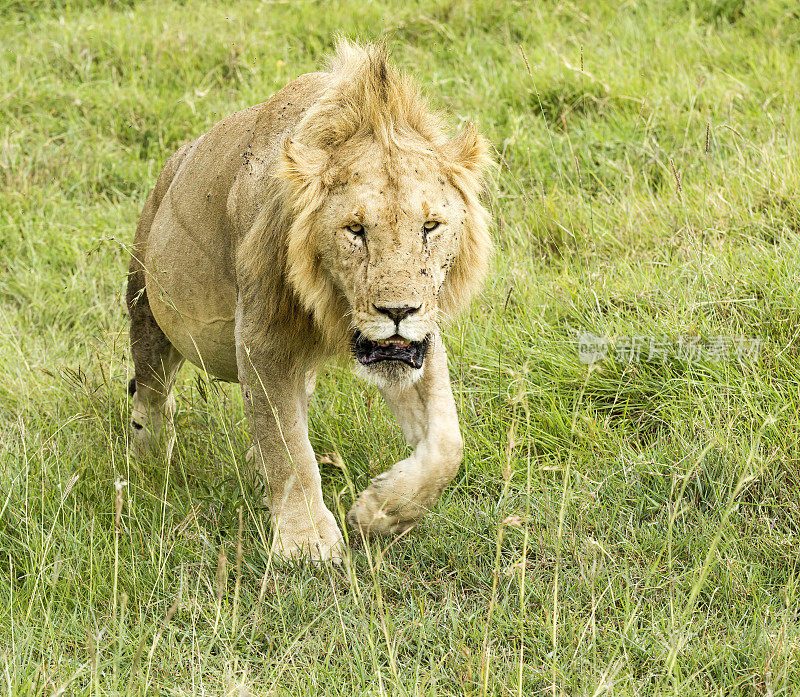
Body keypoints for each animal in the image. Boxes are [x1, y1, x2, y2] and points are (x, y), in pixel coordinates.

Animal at [126, 39, 490, 560]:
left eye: (430, 226)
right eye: (355, 230)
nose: (398, 312)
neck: (333, 308)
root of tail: (175, 163)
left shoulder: (419, 339)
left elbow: (447, 444)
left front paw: (382, 512)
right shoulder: (264, 339)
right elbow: (289, 447)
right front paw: (306, 544)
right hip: (147, 304)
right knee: (151, 395)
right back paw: (150, 463)